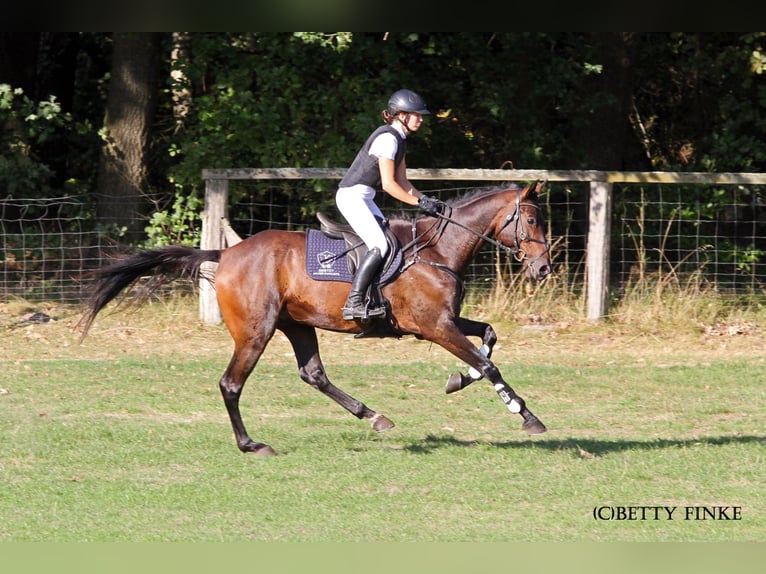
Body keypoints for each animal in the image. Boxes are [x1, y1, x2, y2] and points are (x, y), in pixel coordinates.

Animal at [79, 180, 552, 460]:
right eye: (531, 219)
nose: (544, 268)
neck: (438, 250)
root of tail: (226, 255)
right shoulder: (436, 327)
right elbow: (489, 364)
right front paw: (526, 416)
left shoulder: (444, 322)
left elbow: (489, 337)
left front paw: (458, 379)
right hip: (256, 332)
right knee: (231, 384)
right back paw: (252, 445)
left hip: (298, 325)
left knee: (314, 375)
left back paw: (373, 416)